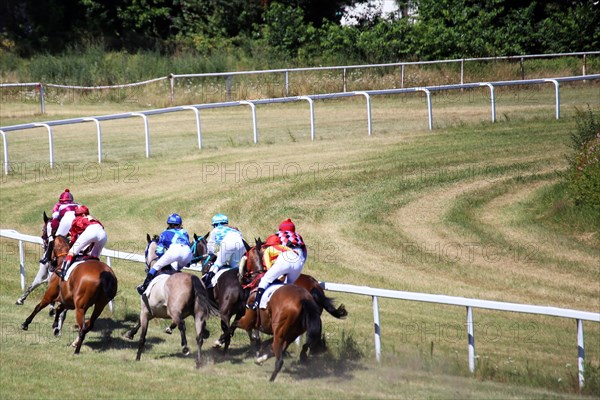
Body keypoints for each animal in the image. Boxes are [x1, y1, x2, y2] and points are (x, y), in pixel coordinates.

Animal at [123, 234, 214, 368]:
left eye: (145, 250)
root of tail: (193, 279)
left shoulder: (145, 311)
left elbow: (142, 337)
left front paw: (137, 358)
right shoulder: (151, 312)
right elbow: (139, 323)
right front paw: (130, 333)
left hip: (174, 311)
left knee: (182, 324)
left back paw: (185, 347)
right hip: (199, 315)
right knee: (199, 337)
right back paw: (198, 361)